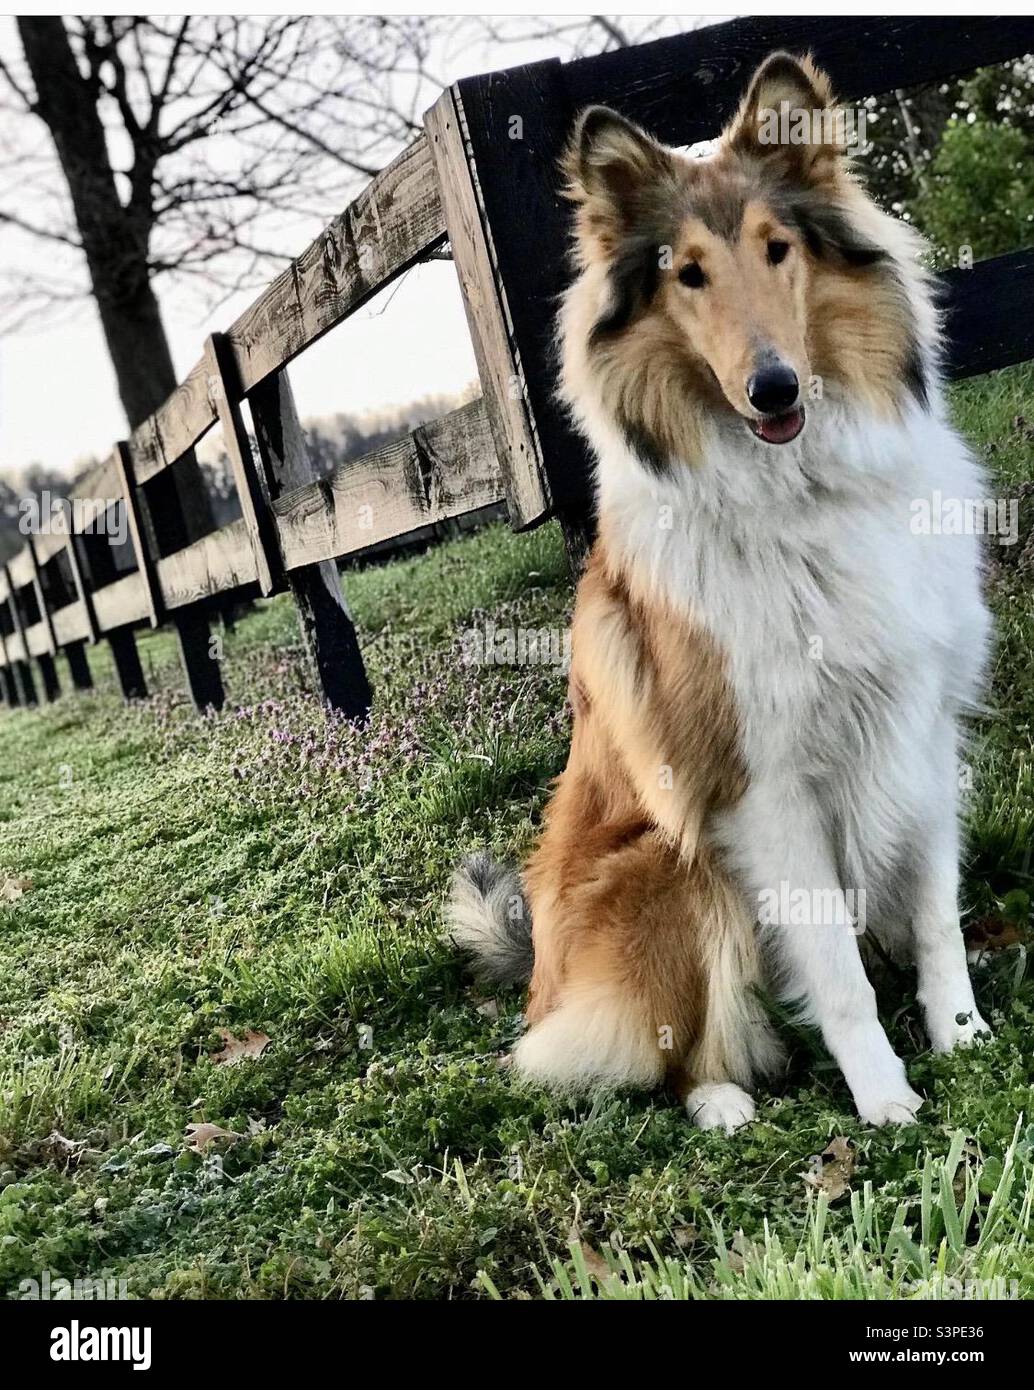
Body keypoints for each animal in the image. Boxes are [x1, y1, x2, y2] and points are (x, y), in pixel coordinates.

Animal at [447, 54, 995, 1134]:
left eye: (777, 250)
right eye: (686, 274)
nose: (772, 389)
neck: (802, 492)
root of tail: (540, 978)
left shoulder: (919, 731)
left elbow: (933, 911)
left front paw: (960, 1037)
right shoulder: (758, 786)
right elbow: (835, 972)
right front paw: (887, 1100)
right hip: (672, 862)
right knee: (661, 1050)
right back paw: (723, 1102)